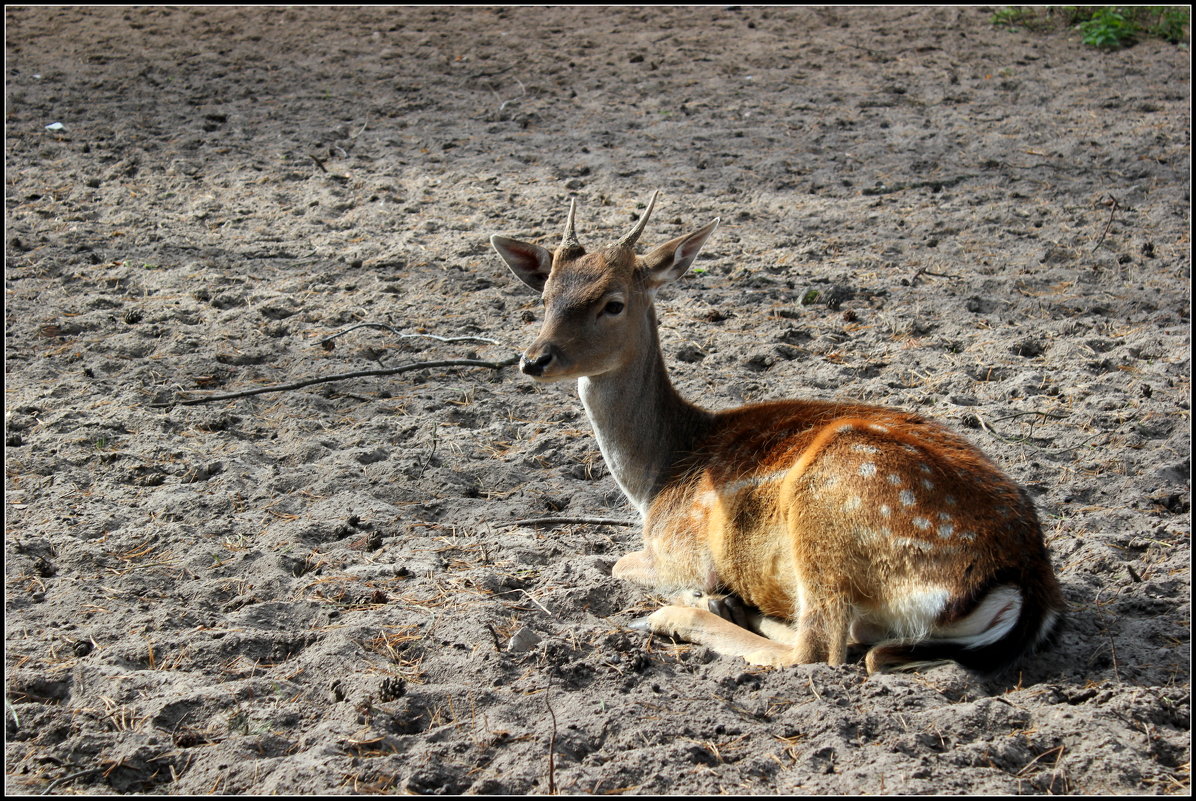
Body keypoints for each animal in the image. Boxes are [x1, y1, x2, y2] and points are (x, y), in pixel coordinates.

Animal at [485, 191, 1066, 674]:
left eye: (613, 303)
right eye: (545, 298)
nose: (533, 360)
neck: (655, 478)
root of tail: (1024, 582)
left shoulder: (677, 549)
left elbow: (615, 565)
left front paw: (697, 596)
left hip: (832, 502)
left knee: (820, 649)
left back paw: (684, 611)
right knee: (856, 641)